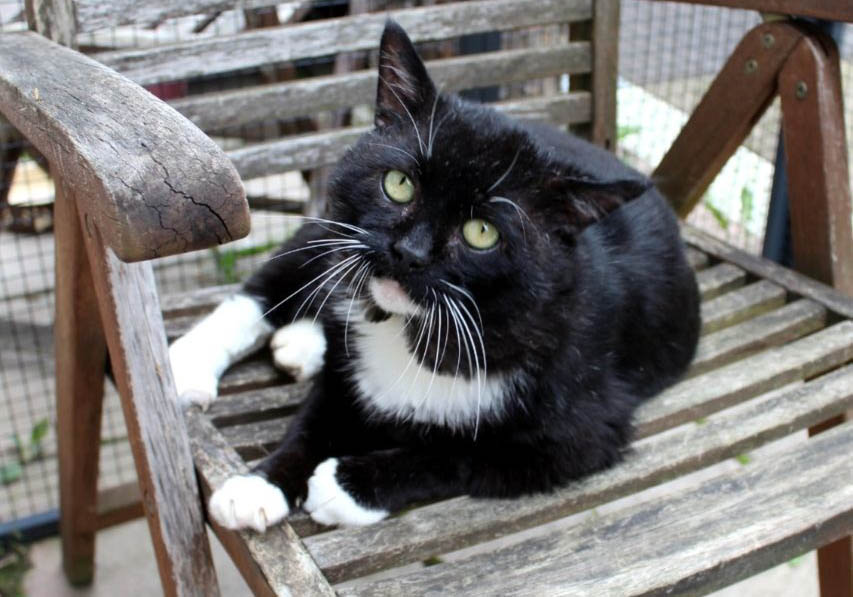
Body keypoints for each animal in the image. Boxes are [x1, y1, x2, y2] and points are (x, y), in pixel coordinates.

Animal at [168, 19, 700, 532]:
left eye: (482, 232)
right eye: (399, 183)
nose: (409, 253)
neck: (411, 325)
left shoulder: (584, 428)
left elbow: (459, 453)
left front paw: (347, 486)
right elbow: (316, 418)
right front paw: (259, 486)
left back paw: (301, 344)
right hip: (337, 231)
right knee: (270, 286)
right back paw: (194, 362)